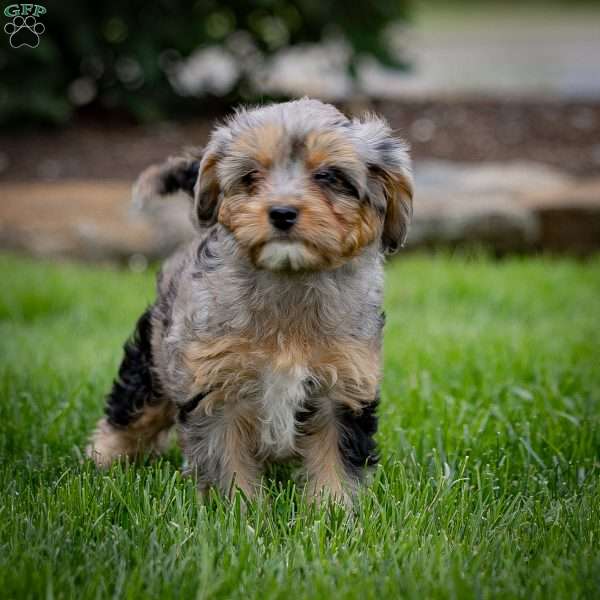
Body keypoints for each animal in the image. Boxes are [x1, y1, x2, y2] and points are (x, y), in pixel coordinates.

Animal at [85, 99, 412, 506]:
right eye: (251, 175)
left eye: (329, 176)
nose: (282, 213)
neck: (288, 277)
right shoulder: (215, 386)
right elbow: (225, 457)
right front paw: (237, 510)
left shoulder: (344, 386)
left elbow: (335, 458)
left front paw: (332, 510)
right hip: (152, 360)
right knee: (131, 410)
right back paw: (102, 459)